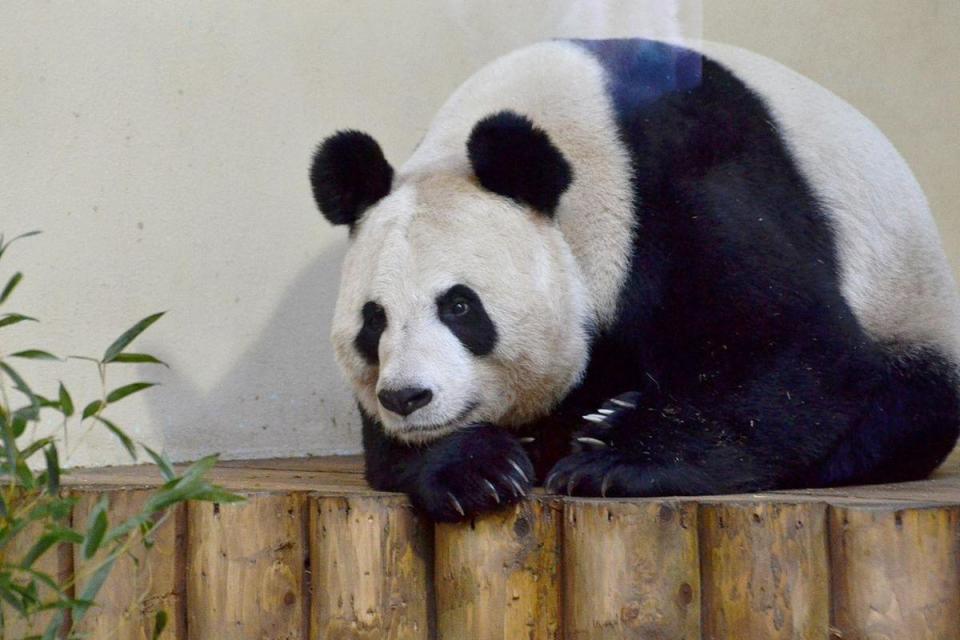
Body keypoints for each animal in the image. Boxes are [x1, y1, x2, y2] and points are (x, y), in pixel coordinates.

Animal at [308, 38, 960, 520]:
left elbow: (796, 348)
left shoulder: (678, 186)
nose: (407, 397)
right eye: (373, 321)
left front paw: (612, 458)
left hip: (910, 307)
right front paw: (479, 470)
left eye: (460, 307)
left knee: (894, 410)